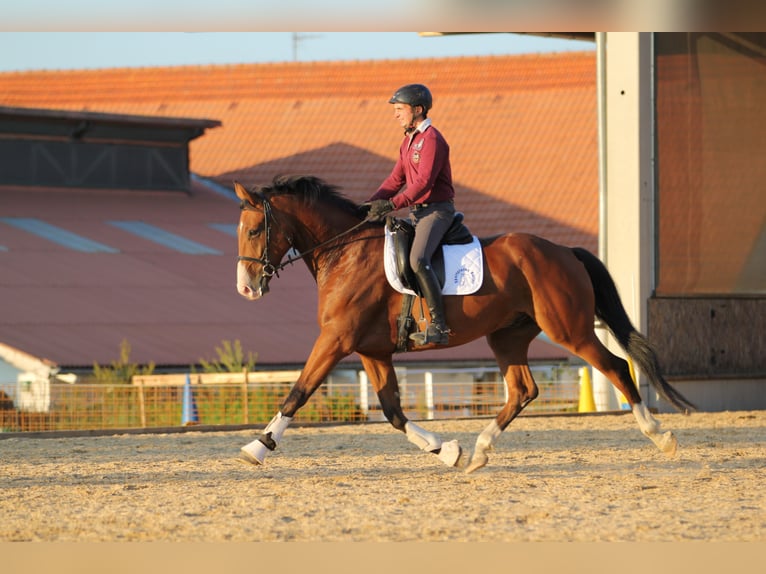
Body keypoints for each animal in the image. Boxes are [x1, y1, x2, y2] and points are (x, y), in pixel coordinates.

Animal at [234, 175, 695, 473]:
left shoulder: (336, 340)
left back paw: (661, 436)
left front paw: (258, 447)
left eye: (255, 230)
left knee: (615, 367)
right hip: (507, 336)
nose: (245, 288)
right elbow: (393, 412)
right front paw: (447, 451)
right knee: (523, 390)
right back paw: (478, 452)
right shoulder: (371, 351)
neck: (346, 251)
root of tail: (565, 250)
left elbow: (299, 391)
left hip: (570, 330)